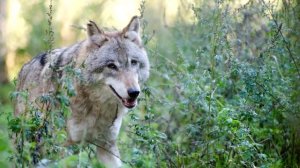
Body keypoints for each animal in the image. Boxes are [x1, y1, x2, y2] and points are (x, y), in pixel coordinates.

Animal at [14, 16, 150, 168]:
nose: (134, 92)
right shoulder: (61, 147)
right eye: (111, 66)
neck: (97, 107)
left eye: (133, 62)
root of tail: (25, 67)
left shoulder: (107, 145)